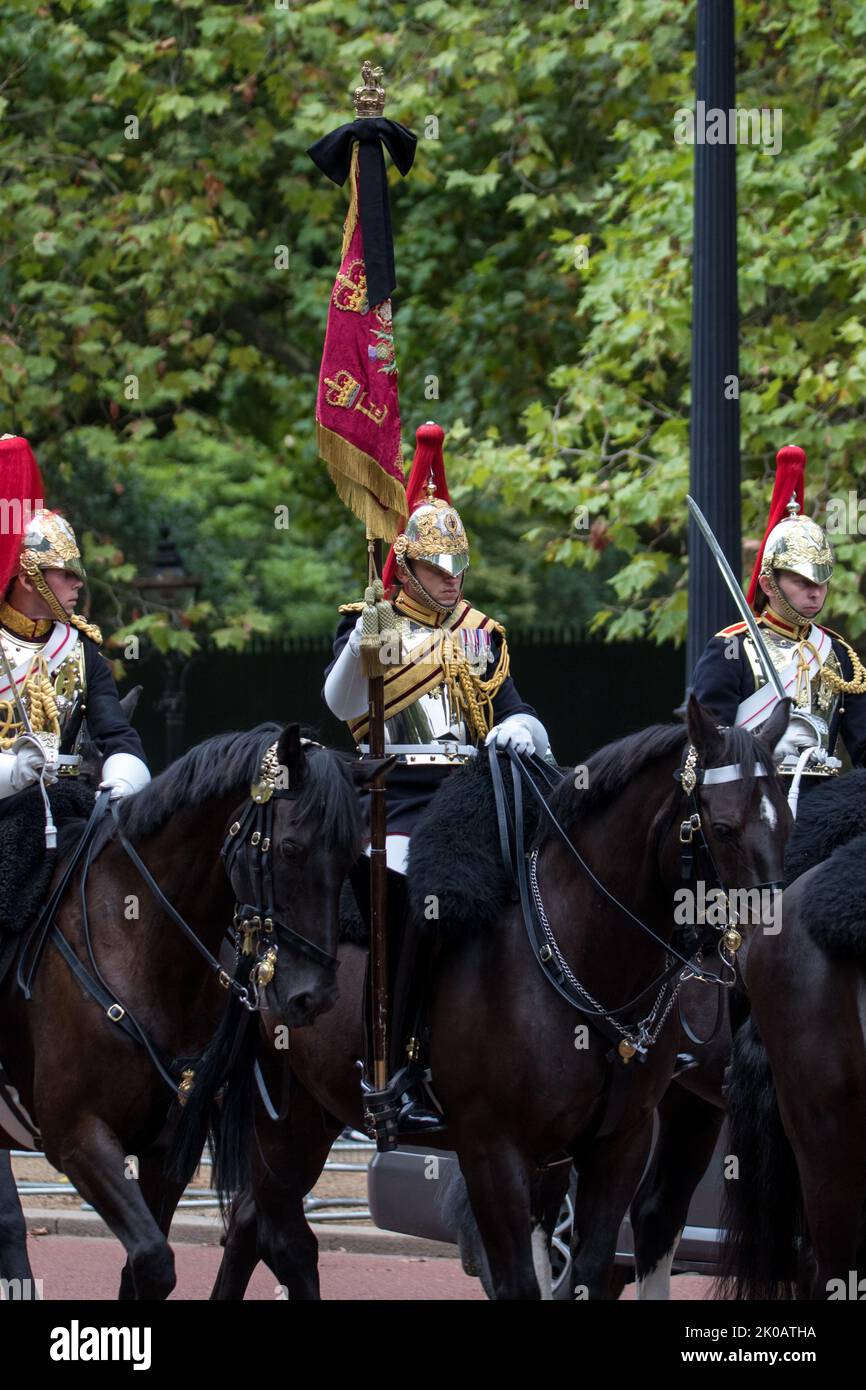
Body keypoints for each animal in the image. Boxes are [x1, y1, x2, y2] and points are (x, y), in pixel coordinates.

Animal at [201, 700, 795, 1295]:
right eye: (723, 829)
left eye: (786, 823)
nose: (770, 954)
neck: (576, 953)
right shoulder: (493, 1151)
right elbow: (520, 1280)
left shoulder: (618, 1145)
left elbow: (587, 1272)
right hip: (283, 1118)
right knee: (279, 1231)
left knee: (253, 1224)